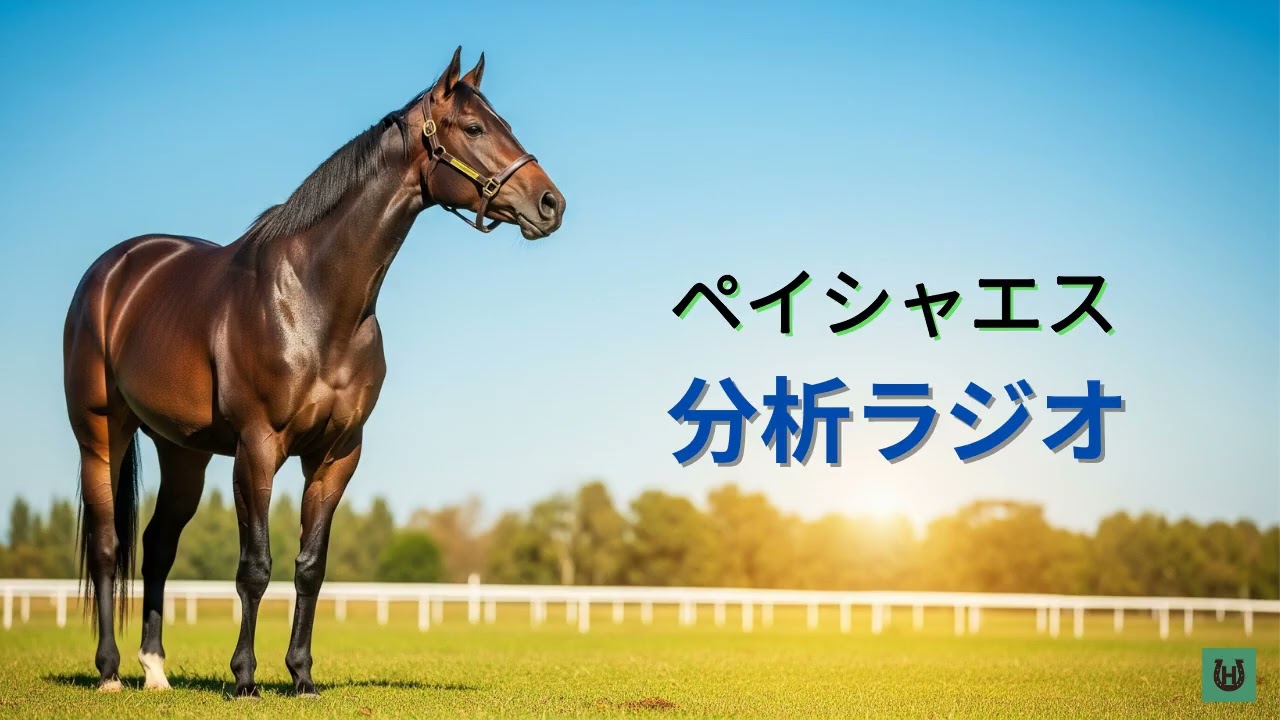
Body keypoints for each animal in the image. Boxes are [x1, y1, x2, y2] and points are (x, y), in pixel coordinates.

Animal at [62, 47, 564, 698]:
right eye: (475, 128)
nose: (551, 203)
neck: (315, 299)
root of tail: (113, 271)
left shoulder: (336, 455)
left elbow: (310, 567)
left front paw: (301, 675)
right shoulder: (257, 448)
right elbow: (255, 568)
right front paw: (245, 678)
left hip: (184, 453)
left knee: (156, 548)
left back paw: (155, 670)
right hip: (101, 435)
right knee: (107, 547)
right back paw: (109, 672)